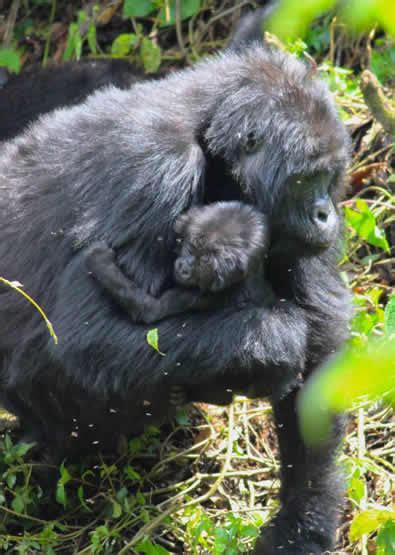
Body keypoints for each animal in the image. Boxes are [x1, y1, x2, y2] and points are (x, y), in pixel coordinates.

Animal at [84, 202, 268, 326]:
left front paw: (99, 258)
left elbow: (150, 309)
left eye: (204, 262)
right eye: (192, 247)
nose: (184, 268)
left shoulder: (204, 295)